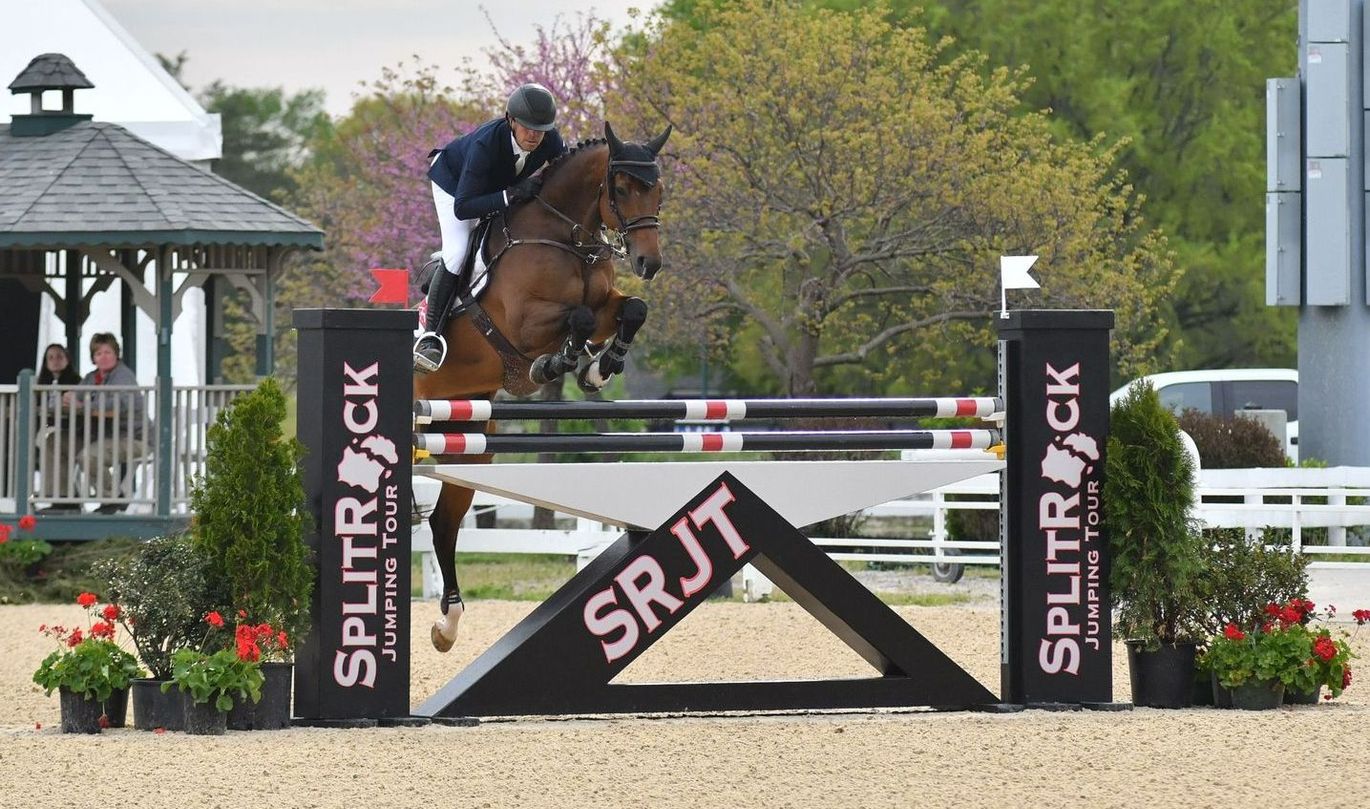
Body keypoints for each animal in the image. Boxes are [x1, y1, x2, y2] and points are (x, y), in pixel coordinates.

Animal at [416, 120, 674, 651]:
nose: (648, 263)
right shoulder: (523, 324)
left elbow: (631, 310)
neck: (565, 237)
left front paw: (598, 367)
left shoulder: (606, 303)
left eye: (659, 189)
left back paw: (448, 625)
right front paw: (554, 365)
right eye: (621, 188)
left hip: (468, 441)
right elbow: (575, 319)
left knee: (444, 523)